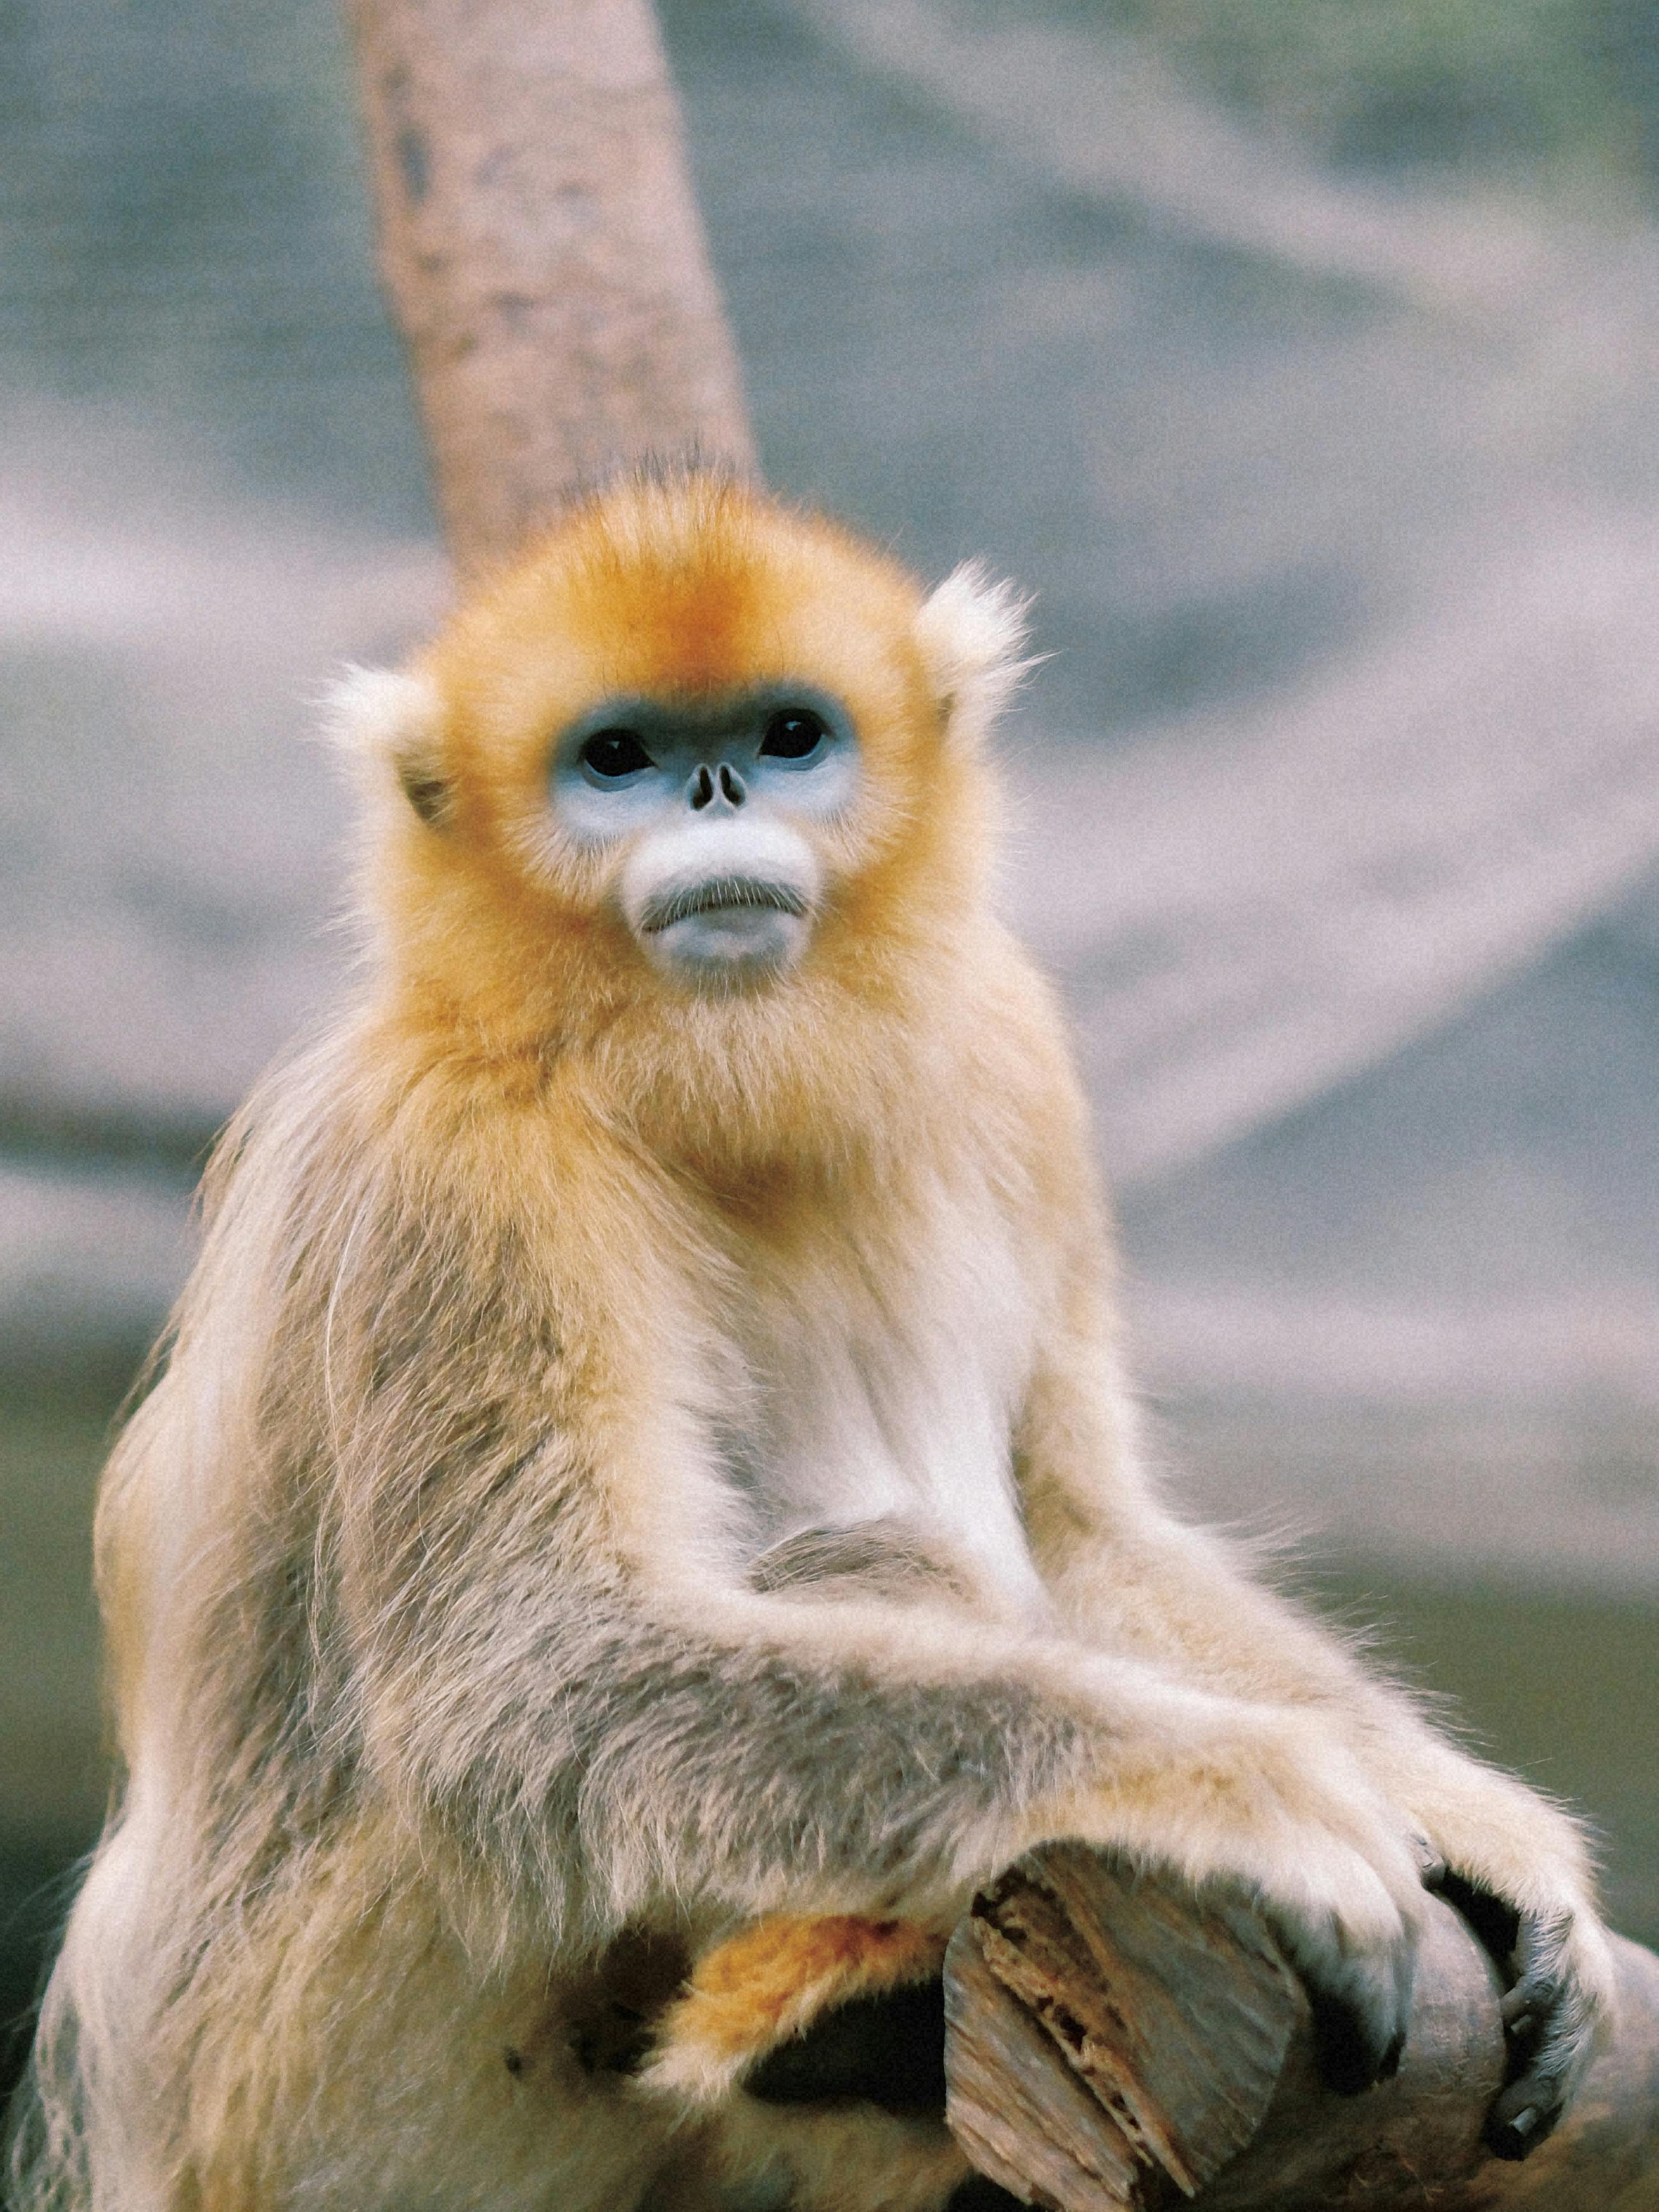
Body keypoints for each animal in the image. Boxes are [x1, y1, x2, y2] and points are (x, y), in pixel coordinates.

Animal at [9, 469, 1614, 2212]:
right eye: (618, 759)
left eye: (787, 736)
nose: (713, 791)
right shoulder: (468, 1158)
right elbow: (522, 1688)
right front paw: (1231, 1791)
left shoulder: (1008, 1036)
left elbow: (1080, 1520)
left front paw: (1475, 1823)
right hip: (319, 2080)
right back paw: (828, 2014)